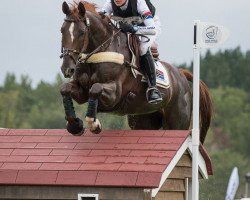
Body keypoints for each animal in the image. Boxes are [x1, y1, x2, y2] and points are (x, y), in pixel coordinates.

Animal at [59, 0, 213, 143]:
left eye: (82, 32)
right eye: (62, 30)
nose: (67, 69)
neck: (99, 52)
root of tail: (180, 74)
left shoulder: (114, 93)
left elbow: (95, 88)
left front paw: (93, 123)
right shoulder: (82, 91)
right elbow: (65, 89)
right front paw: (74, 125)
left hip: (177, 122)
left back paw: (154, 93)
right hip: (144, 119)